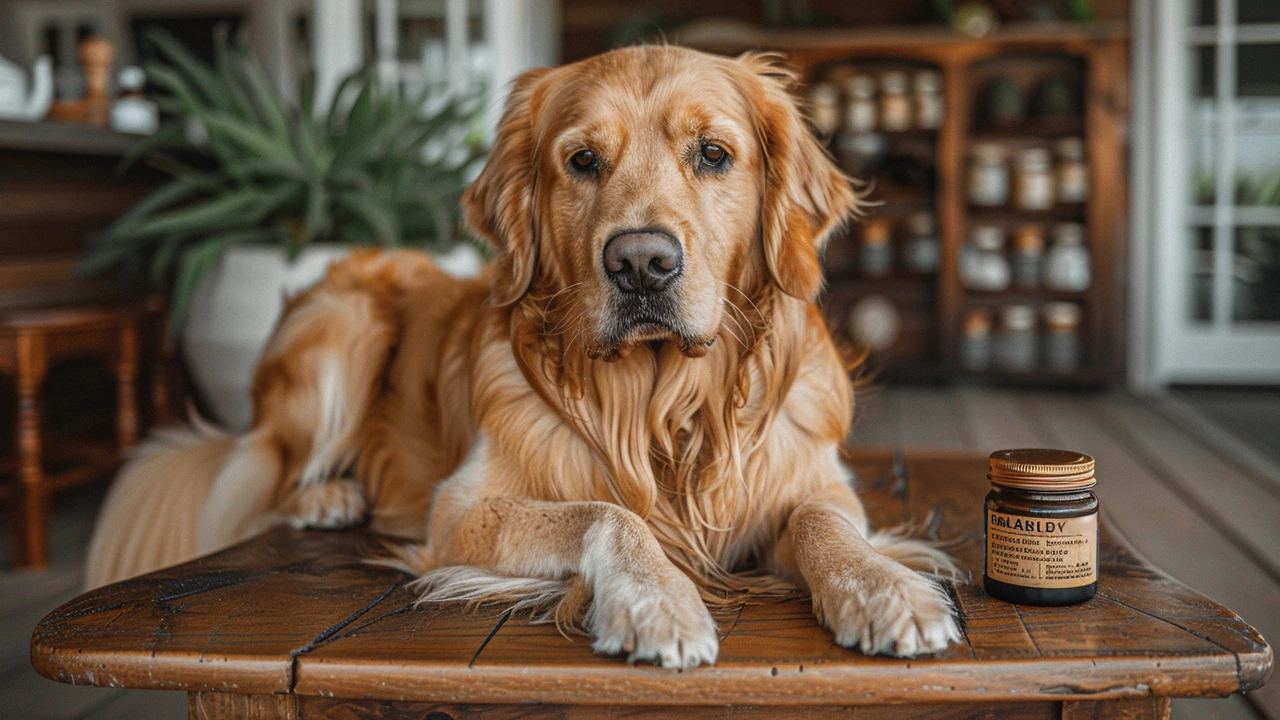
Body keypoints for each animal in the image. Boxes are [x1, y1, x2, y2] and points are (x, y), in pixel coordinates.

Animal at [85, 46, 957, 666]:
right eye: (581, 161)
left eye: (713, 154)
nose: (641, 264)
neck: (662, 405)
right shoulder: (460, 508)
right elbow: (608, 512)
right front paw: (658, 601)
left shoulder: (814, 479)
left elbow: (823, 522)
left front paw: (885, 589)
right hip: (344, 324)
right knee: (268, 467)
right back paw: (328, 494)